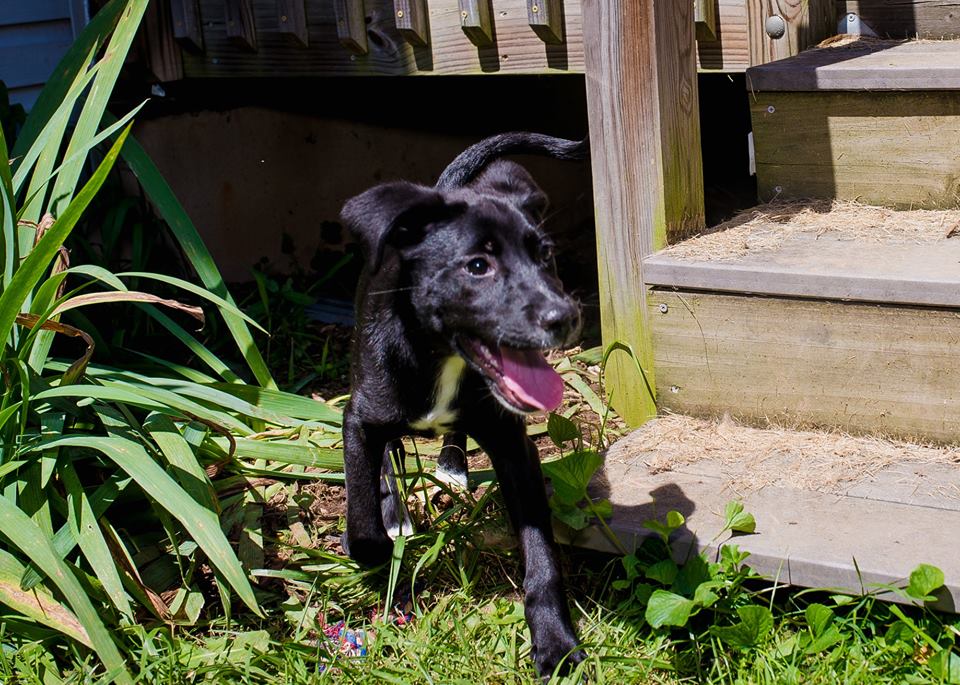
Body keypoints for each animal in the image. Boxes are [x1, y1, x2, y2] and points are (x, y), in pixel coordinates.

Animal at [339, 132, 588, 678]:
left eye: (545, 257)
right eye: (478, 266)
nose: (566, 317)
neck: (442, 358)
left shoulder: (514, 447)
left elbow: (542, 556)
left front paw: (555, 642)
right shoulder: (358, 417)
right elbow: (363, 515)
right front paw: (379, 552)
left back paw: (452, 464)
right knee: (383, 457)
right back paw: (396, 508)